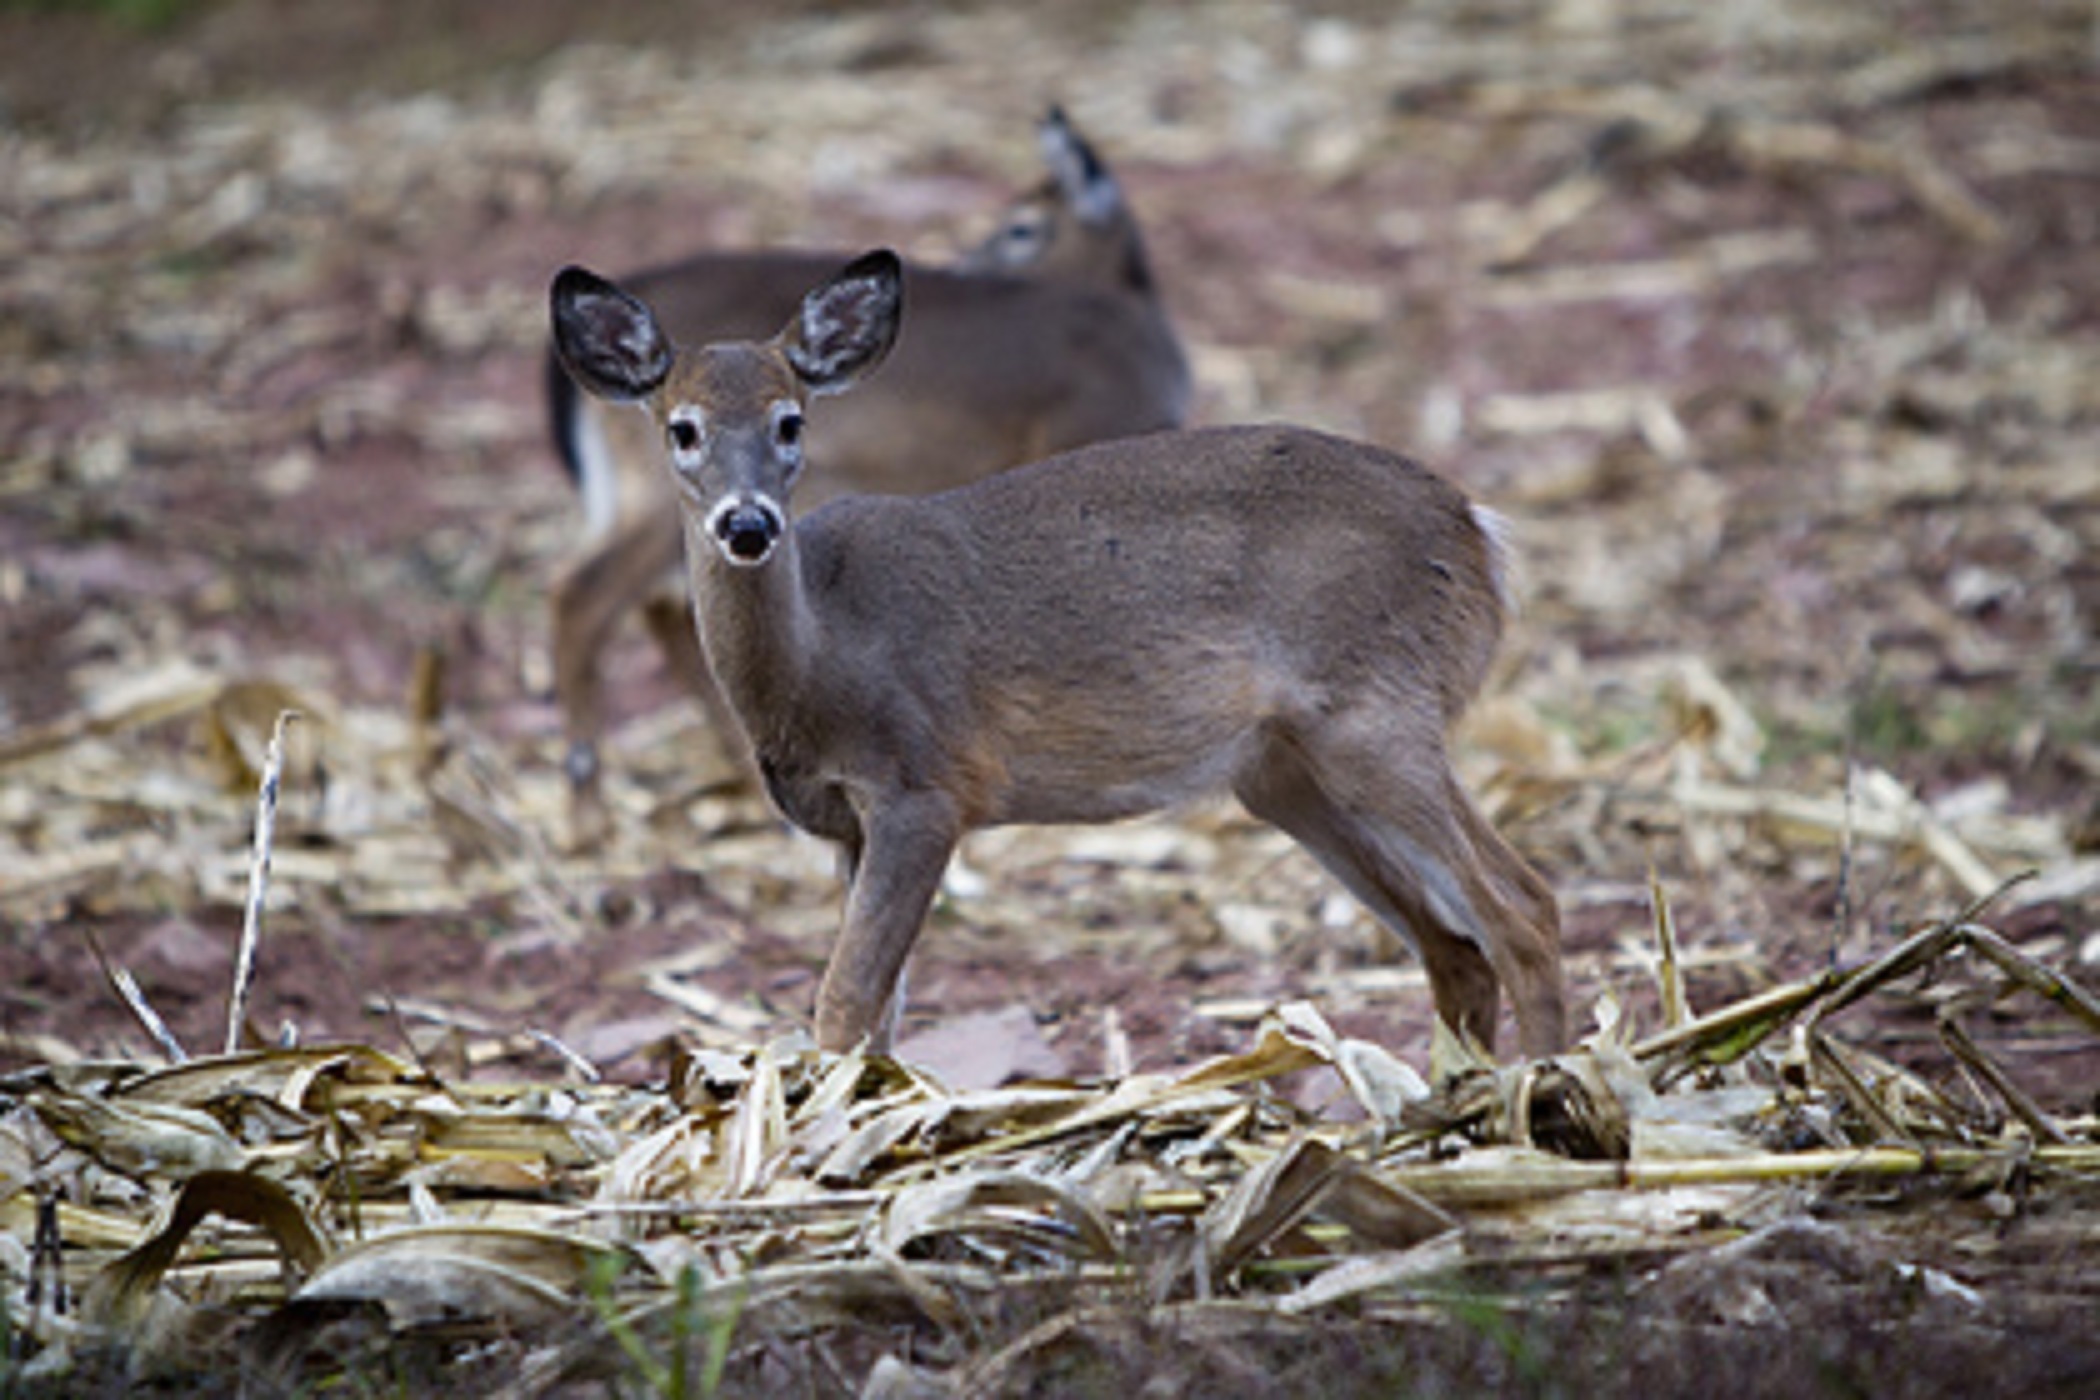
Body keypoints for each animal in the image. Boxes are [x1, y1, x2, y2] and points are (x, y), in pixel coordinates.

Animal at [550, 255, 1570, 1062]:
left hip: (1373, 711)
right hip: (1283, 772)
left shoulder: (926, 787)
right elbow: (879, 1013)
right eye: (681, 427)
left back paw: (1541, 1109)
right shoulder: (845, 824)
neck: (819, 659)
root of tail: (1479, 533)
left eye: (791, 420)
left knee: (1521, 906)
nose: (749, 523)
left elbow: (843, 1002)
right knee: (1455, 945)